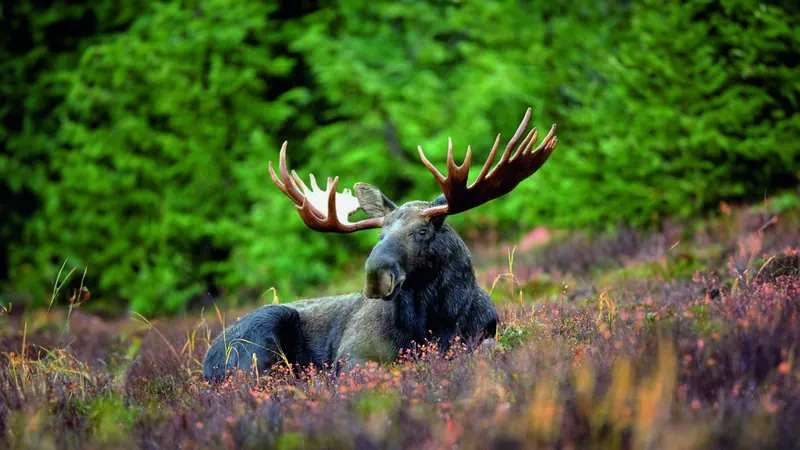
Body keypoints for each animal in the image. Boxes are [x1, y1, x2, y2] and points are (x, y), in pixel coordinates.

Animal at [203, 108, 558, 381]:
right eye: (380, 235)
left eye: (422, 231)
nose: (376, 275)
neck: (436, 321)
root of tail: (208, 362)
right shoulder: (353, 354)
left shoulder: (483, 334)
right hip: (260, 341)